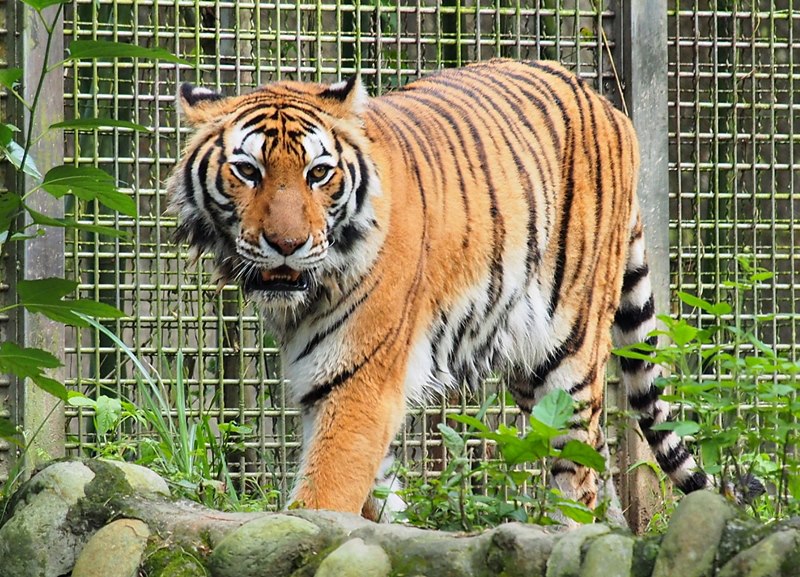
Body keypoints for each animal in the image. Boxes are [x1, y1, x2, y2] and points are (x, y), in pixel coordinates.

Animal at [166, 58, 709, 522]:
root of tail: (606, 102)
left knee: (576, 474)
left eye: (318, 173)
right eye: (247, 171)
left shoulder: (358, 380)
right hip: (529, 365)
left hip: (571, 352)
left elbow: (325, 497)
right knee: (596, 462)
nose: (286, 245)